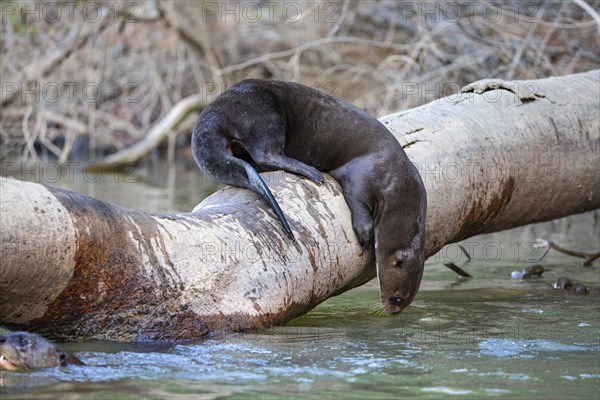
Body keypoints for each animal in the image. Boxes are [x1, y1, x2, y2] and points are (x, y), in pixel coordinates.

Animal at [192, 79, 426, 314]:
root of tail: (214, 113)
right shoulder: (364, 173)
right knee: (267, 154)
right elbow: (358, 201)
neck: (396, 179)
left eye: (404, 301)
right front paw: (365, 234)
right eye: (398, 299)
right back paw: (311, 171)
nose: (393, 311)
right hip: (263, 113)